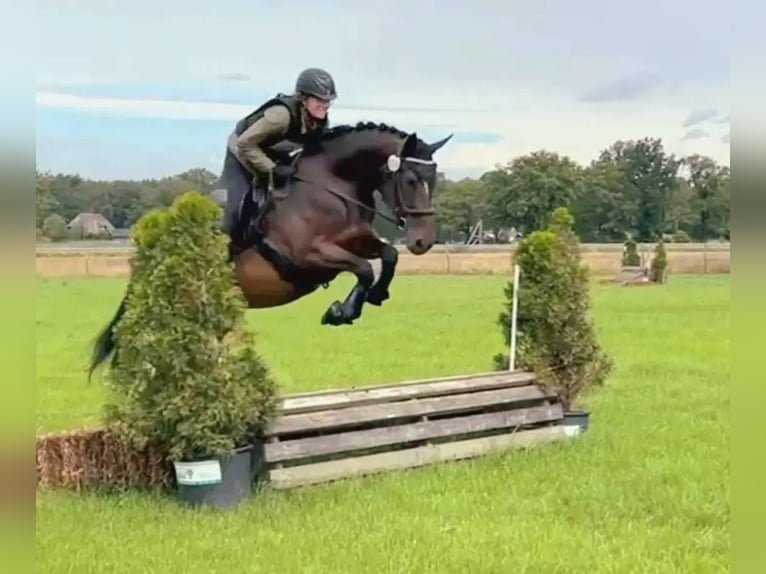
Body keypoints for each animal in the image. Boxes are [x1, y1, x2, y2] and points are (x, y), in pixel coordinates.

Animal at [88, 121, 452, 377]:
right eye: (409, 181)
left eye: (434, 181)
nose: (423, 242)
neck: (331, 185)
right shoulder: (307, 256)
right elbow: (362, 268)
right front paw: (341, 312)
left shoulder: (356, 240)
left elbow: (389, 256)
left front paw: (375, 295)